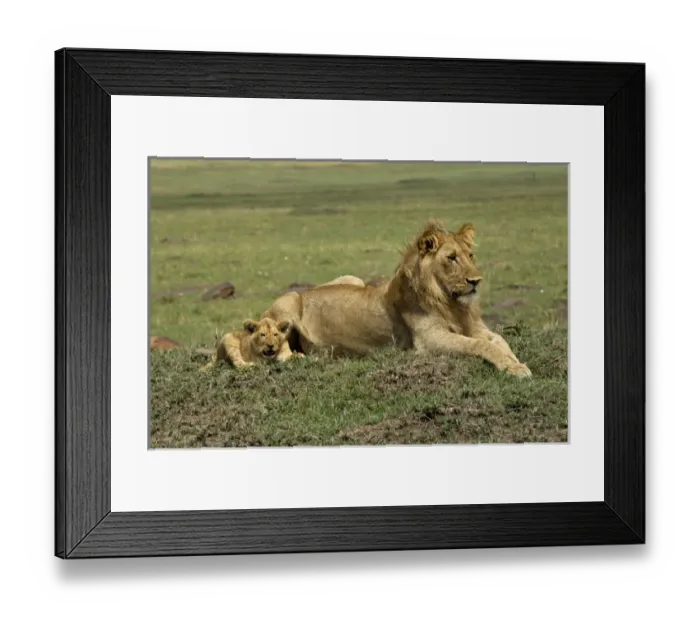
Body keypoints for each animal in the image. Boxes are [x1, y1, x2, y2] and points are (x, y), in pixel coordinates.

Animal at [261, 220, 532, 377]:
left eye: (470, 255)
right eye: (452, 258)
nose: (476, 281)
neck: (449, 303)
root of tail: (306, 290)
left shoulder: (475, 327)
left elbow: (500, 341)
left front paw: (514, 361)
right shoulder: (430, 340)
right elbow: (480, 345)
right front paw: (515, 368)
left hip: (353, 279)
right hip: (288, 301)